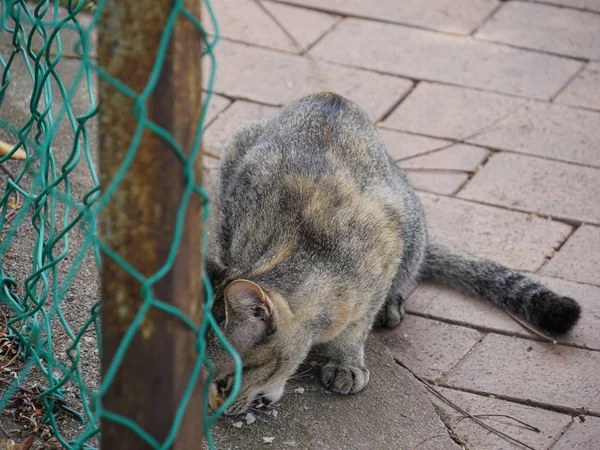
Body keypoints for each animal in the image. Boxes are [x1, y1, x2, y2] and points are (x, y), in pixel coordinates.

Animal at [204, 92, 580, 418]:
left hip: (410, 217)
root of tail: (329, 96)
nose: (211, 411)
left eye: (225, 381)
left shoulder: (387, 243)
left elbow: (358, 324)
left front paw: (345, 360)